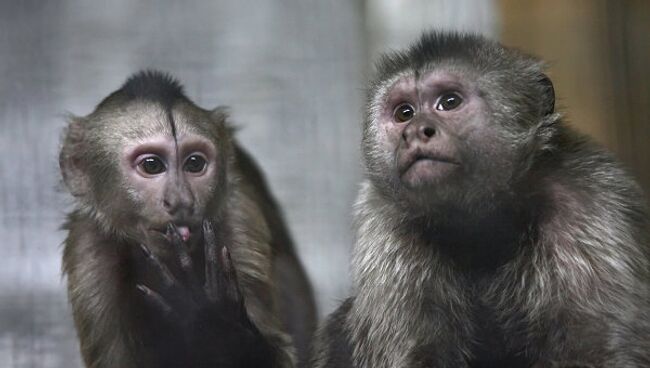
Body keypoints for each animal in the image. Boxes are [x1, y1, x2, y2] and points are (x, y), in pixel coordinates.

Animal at [57, 70, 314, 366]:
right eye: (152, 165)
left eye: (194, 163)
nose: (181, 200)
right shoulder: (88, 251)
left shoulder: (239, 215)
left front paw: (215, 324)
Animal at [308, 32, 648, 368]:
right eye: (405, 113)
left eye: (449, 102)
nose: (416, 132)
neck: (483, 225)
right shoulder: (383, 223)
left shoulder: (588, 204)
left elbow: (592, 352)